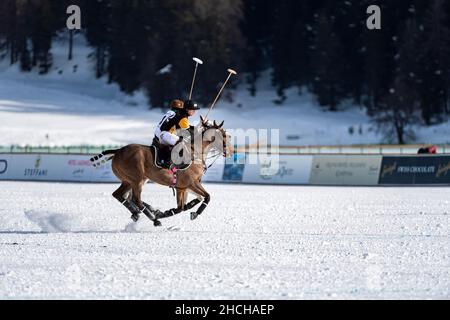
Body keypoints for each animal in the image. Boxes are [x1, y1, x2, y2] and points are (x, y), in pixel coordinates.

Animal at [91, 116, 232, 226]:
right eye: (224, 135)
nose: (230, 151)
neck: (195, 151)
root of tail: (117, 151)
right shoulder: (192, 183)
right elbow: (207, 197)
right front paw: (194, 214)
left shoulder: (182, 187)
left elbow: (182, 207)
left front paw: (163, 212)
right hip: (137, 179)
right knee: (136, 199)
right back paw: (153, 219)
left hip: (129, 180)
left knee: (120, 195)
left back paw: (139, 213)